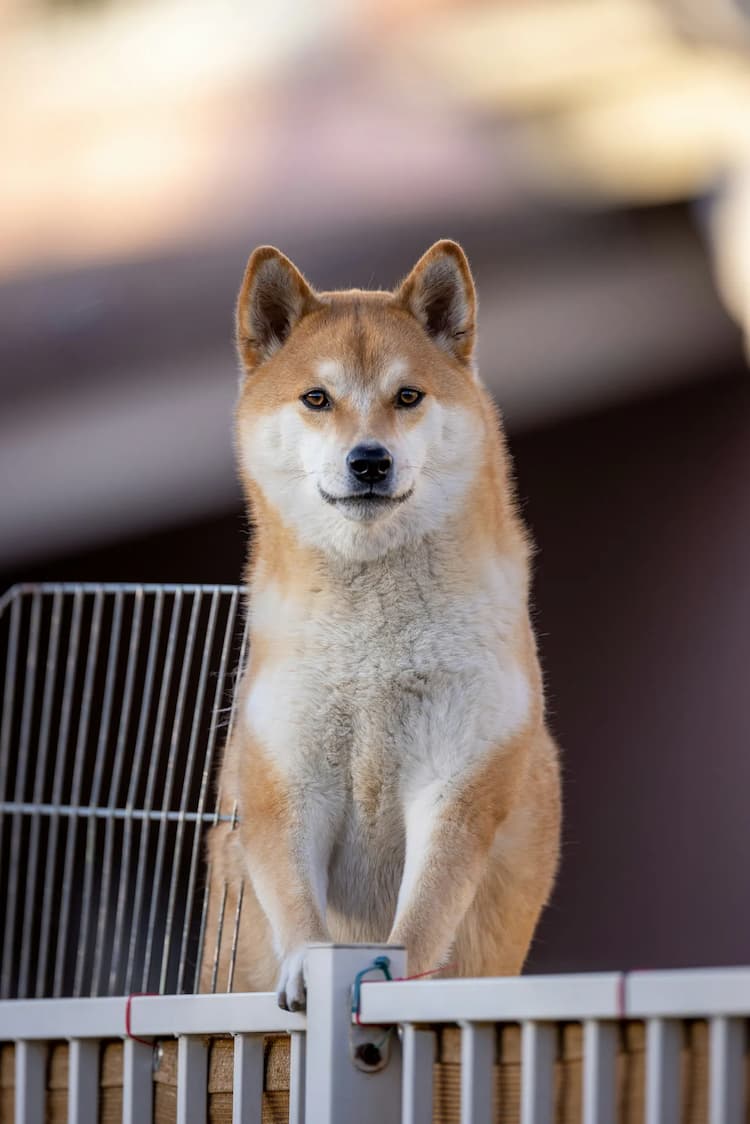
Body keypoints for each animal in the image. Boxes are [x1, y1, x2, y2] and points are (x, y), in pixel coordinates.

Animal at [202, 239, 559, 1011]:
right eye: (316, 398)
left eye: (407, 396)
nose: (369, 459)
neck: (373, 650)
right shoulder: (286, 779)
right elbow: (298, 910)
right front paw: (307, 970)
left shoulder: (458, 781)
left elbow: (422, 916)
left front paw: (397, 973)